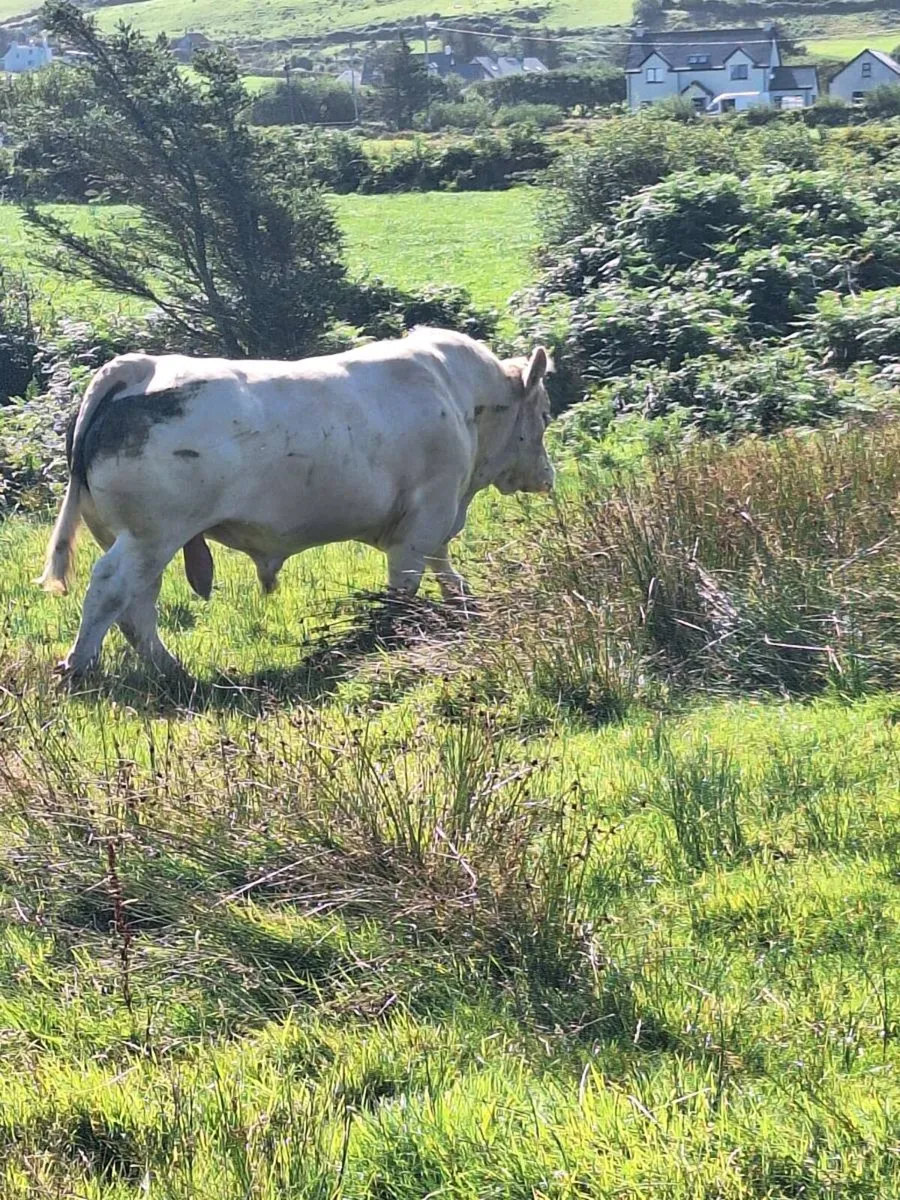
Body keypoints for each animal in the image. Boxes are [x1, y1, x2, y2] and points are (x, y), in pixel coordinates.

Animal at [37, 327, 555, 679]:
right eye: (546, 413)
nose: (547, 477)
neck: (460, 397)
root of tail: (140, 367)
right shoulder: (426, 516)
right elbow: (405, 586)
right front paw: (392, 636)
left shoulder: (434, 522)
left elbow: (447, 573)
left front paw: (465, 611)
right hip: (151, 536)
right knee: (112, 590)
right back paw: (79, 666)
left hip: (141, 540)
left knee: (137, 605)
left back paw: (172, 670)